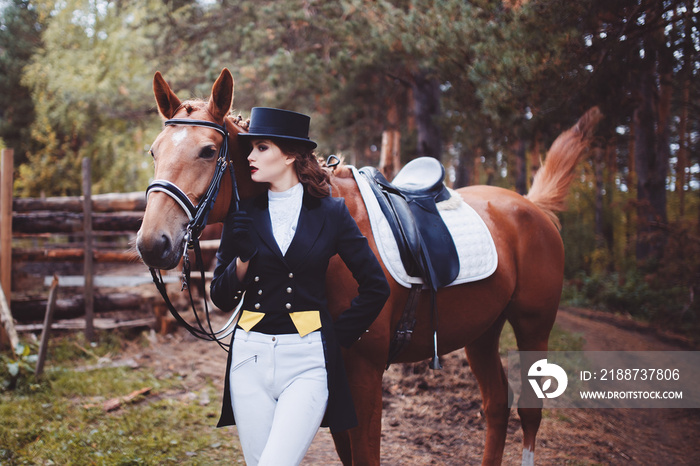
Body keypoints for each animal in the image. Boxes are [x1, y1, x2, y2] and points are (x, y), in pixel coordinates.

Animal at [137, 67, 600, 464]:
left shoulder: (364, 375)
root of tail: (532, 207)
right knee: (496, 405)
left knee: (529, 413)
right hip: (482, 332)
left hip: (532, 326)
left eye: (208, 150)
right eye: (154, 152)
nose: (151, 243)